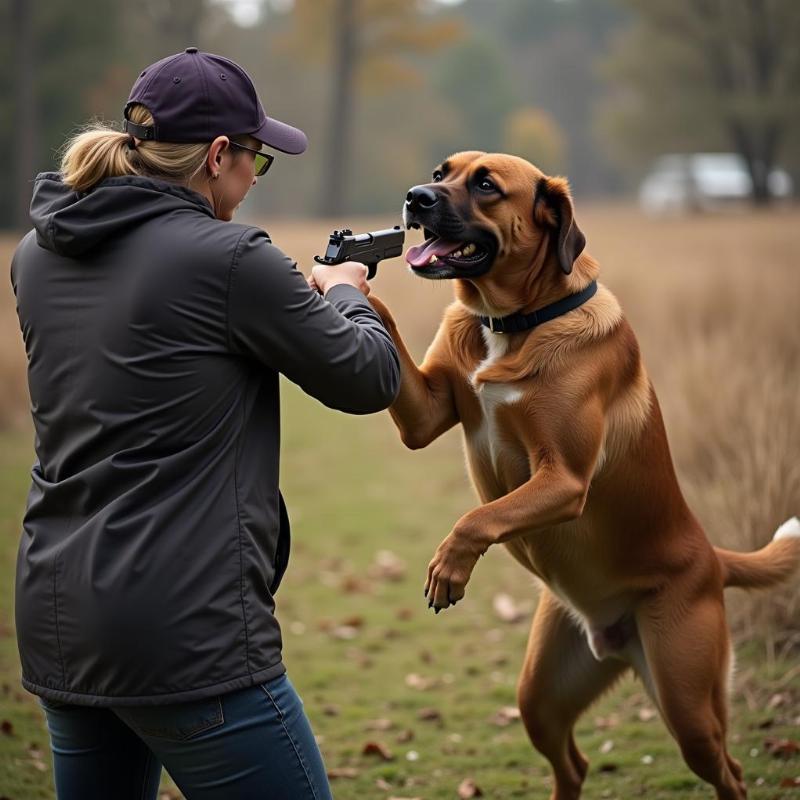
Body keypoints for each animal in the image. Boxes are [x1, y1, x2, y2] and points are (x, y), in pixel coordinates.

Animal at [368, 152, 800, 800]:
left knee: (731, 770)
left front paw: (449, 567)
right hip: (541, 694)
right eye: (442, 173)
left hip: (686, 700)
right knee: (573, 763)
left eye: (486, 185)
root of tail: (712, 558)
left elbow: (479, 517)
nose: (416, 197)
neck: (512, 321)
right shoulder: (427, 414)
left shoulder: (564, 479)